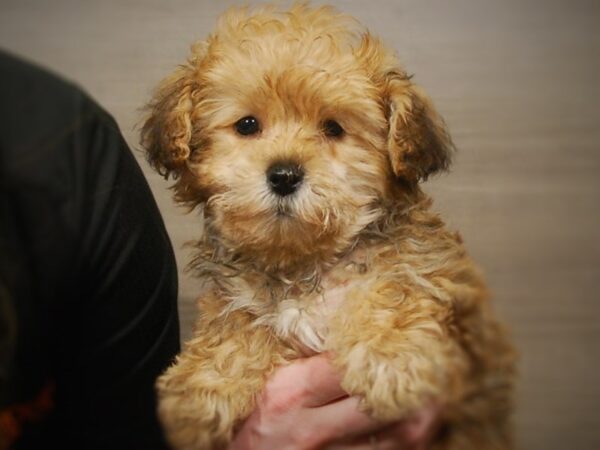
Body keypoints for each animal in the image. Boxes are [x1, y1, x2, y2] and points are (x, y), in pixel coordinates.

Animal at [139, 3, 516, 450]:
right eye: (247, 125)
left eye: (333, 128)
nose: (284, 175)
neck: (304, 263)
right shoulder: (241, 298)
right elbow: (235, 322)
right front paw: (201, 388)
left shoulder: (446, 292)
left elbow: (393, 285)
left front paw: (390, 358)